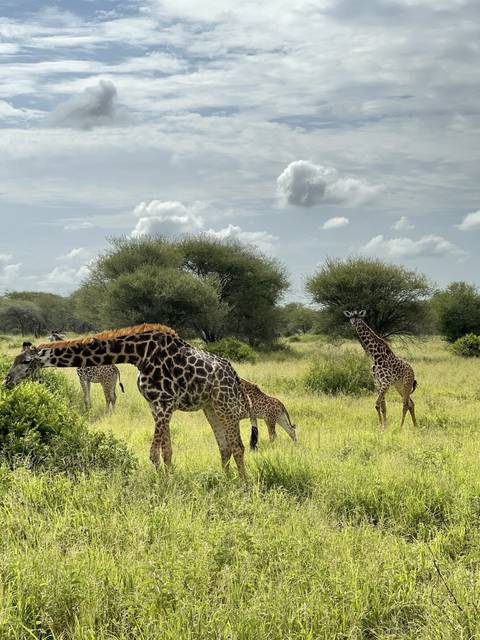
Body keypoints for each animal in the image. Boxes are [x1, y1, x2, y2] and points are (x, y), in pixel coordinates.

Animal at [2, 323, 257, 478]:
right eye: (14, 359)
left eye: (26, 362)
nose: (6, 380)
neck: (139, 355)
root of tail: (234, 375)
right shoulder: (156, 405)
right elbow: (166, 451)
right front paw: (168, 478)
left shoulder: (164, 404)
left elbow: (154, 454)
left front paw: (163, 483)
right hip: (210, 407)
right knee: (224, 446)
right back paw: (225, 479)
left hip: (226, 404)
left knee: (238, 446)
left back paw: (241, 485)